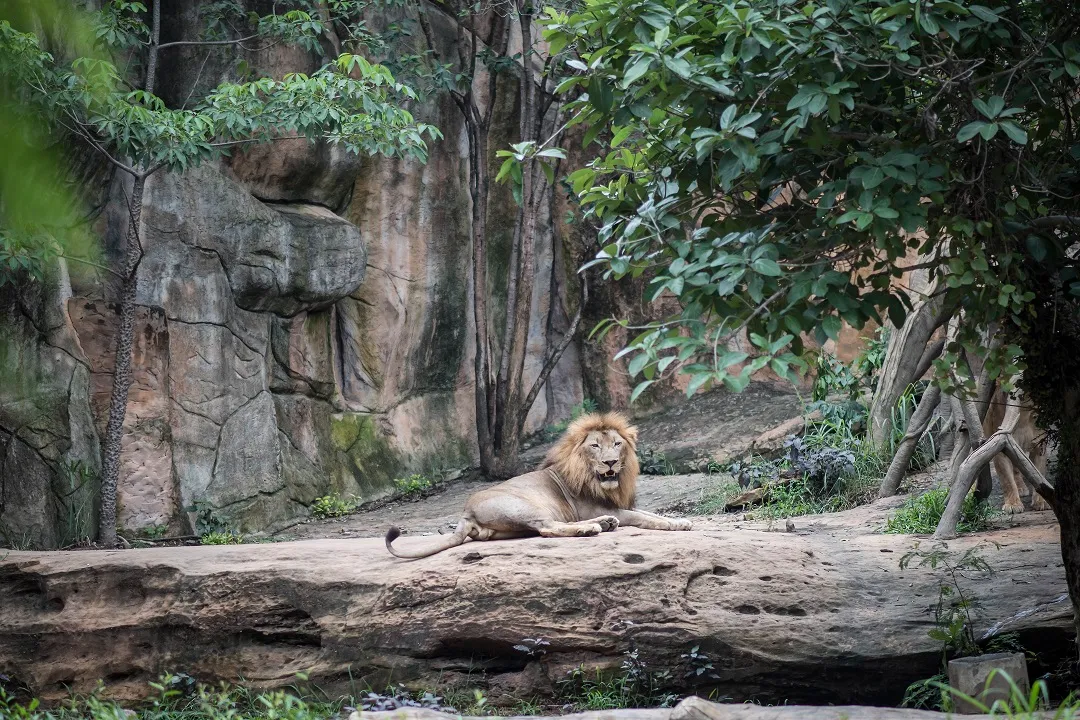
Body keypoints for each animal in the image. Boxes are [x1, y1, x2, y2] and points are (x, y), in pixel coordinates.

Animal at [384, 412, 692, 559]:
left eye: (617, 444)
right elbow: (644, 518)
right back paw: (592, 527)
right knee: (547, 528)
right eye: (594, 446)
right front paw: (676, 525)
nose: (611, 463)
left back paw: (604, 524)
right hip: (527, 506)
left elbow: (650, 513)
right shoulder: (605, 509)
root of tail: (465, 513)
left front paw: (681, 521)